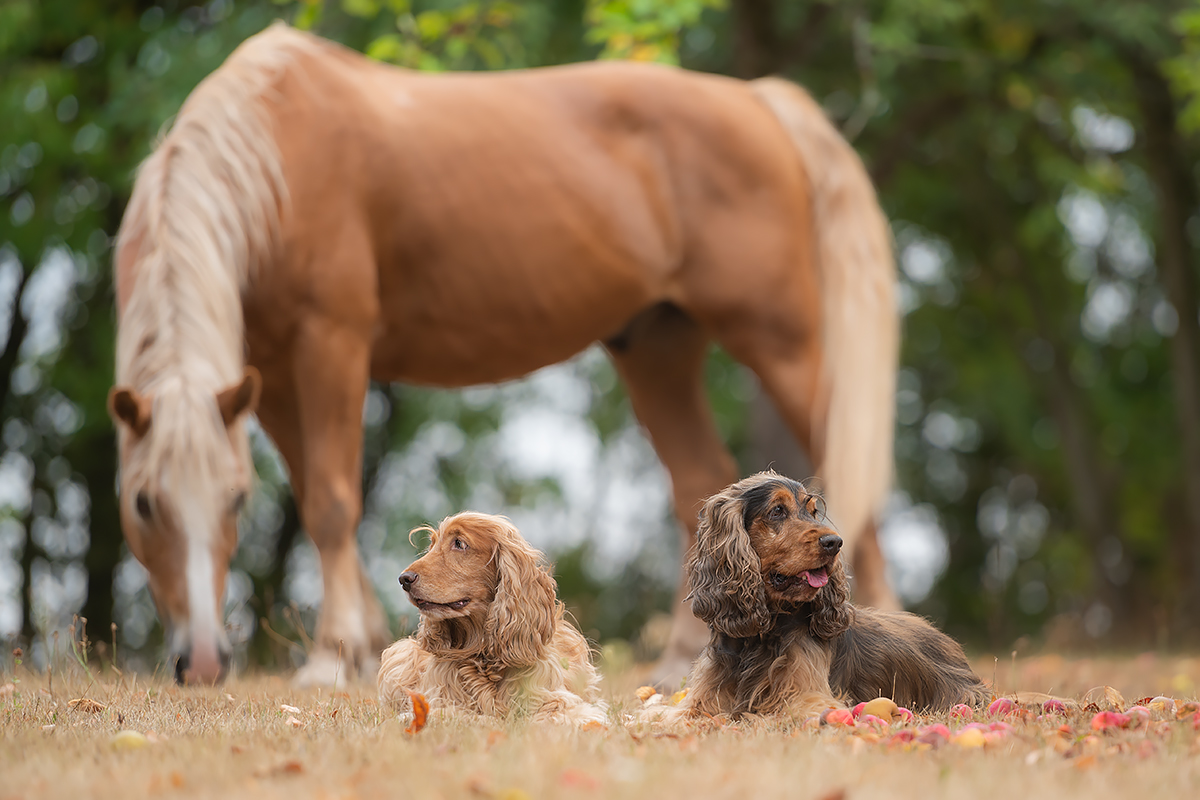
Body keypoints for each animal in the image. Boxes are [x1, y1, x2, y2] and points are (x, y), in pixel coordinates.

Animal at [112, 25, 897, 690]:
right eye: (143, 503)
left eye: (233, 500)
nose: (202, 662)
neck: (278, 153)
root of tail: (759, 98)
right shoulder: (272, 374)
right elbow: (310, 497)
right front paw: (358, 645)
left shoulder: (330, 341)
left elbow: (333, 504)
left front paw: (330, 661)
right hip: (657, 344)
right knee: (697, 487)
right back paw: (678, 661)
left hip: (778, 338)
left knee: (846, 489)